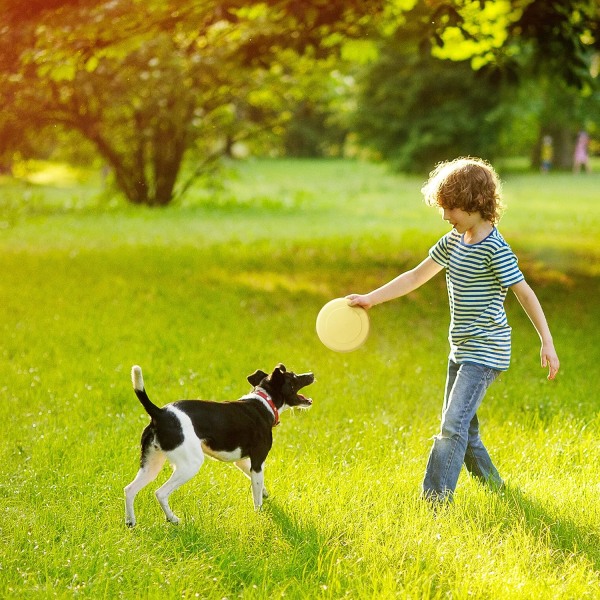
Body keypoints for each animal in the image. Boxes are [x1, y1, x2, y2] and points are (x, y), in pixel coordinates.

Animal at [123, 360, 314, 524]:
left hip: (151, 465)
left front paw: (265, 493)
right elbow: (257, 495)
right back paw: (173, 519)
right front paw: (259, 514)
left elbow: (258, 485)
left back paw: (131, 522)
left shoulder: (242, 461)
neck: (264, 403)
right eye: (294, 377)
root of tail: (160, 413)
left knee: (129, 489)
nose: (311, 374)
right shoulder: (258, 462)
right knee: (160, 493)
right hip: (189, 465)